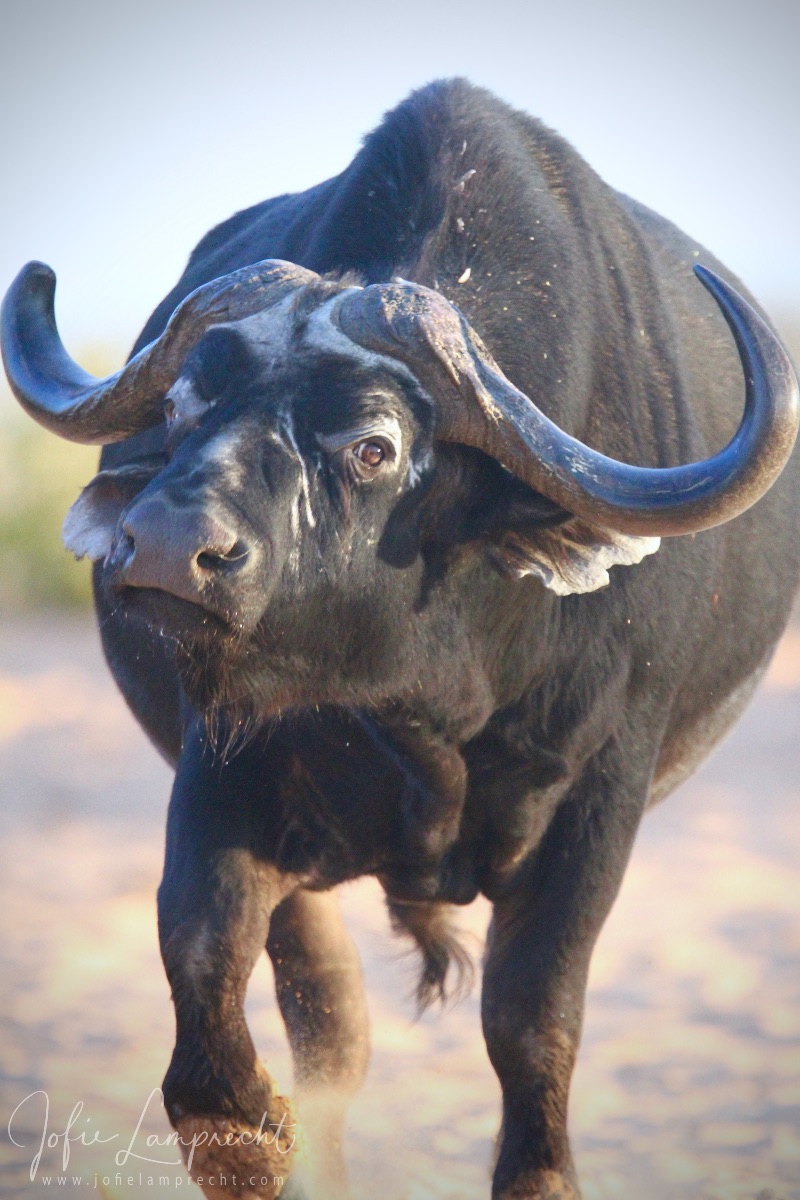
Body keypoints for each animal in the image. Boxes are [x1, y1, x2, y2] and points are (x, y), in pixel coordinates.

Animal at [3, 79, 799, 1200]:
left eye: (373, 446)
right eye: (187, 399)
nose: (159, 547)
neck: (432, 701)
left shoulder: (603, 795)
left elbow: (532, 1024)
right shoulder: (222, 764)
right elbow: (213, 1005)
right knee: (331, 1022)